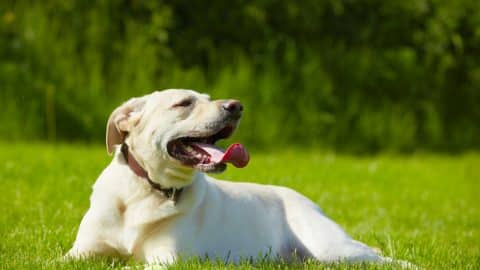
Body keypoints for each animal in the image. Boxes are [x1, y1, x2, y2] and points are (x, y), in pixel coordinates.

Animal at [65, 89, 400, 266]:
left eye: (208, 97)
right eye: (184, 103)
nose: (236, 106)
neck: (147, 189)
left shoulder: (167, 259)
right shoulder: (80, 253)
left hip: (331, 247)